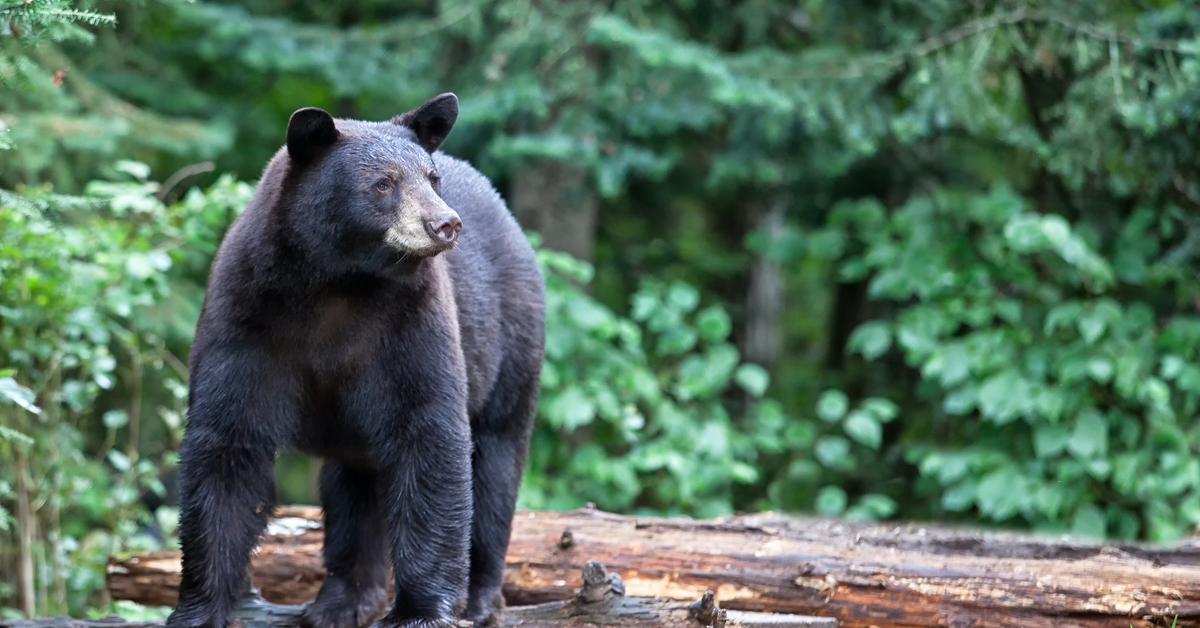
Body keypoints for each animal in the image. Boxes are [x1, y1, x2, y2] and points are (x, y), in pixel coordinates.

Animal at [164, 94, 544, 628]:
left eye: (431, 179)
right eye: (383, 183)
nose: (445, 224)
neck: (339, 283)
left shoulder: (410, 324)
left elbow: (428, 436)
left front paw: (421, 611)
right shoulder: (246, 318)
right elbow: (227, 444)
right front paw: (199, 608)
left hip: (510, 342)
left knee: (495, 461)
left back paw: (481, 598)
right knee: (353, 490)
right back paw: (343, 599)